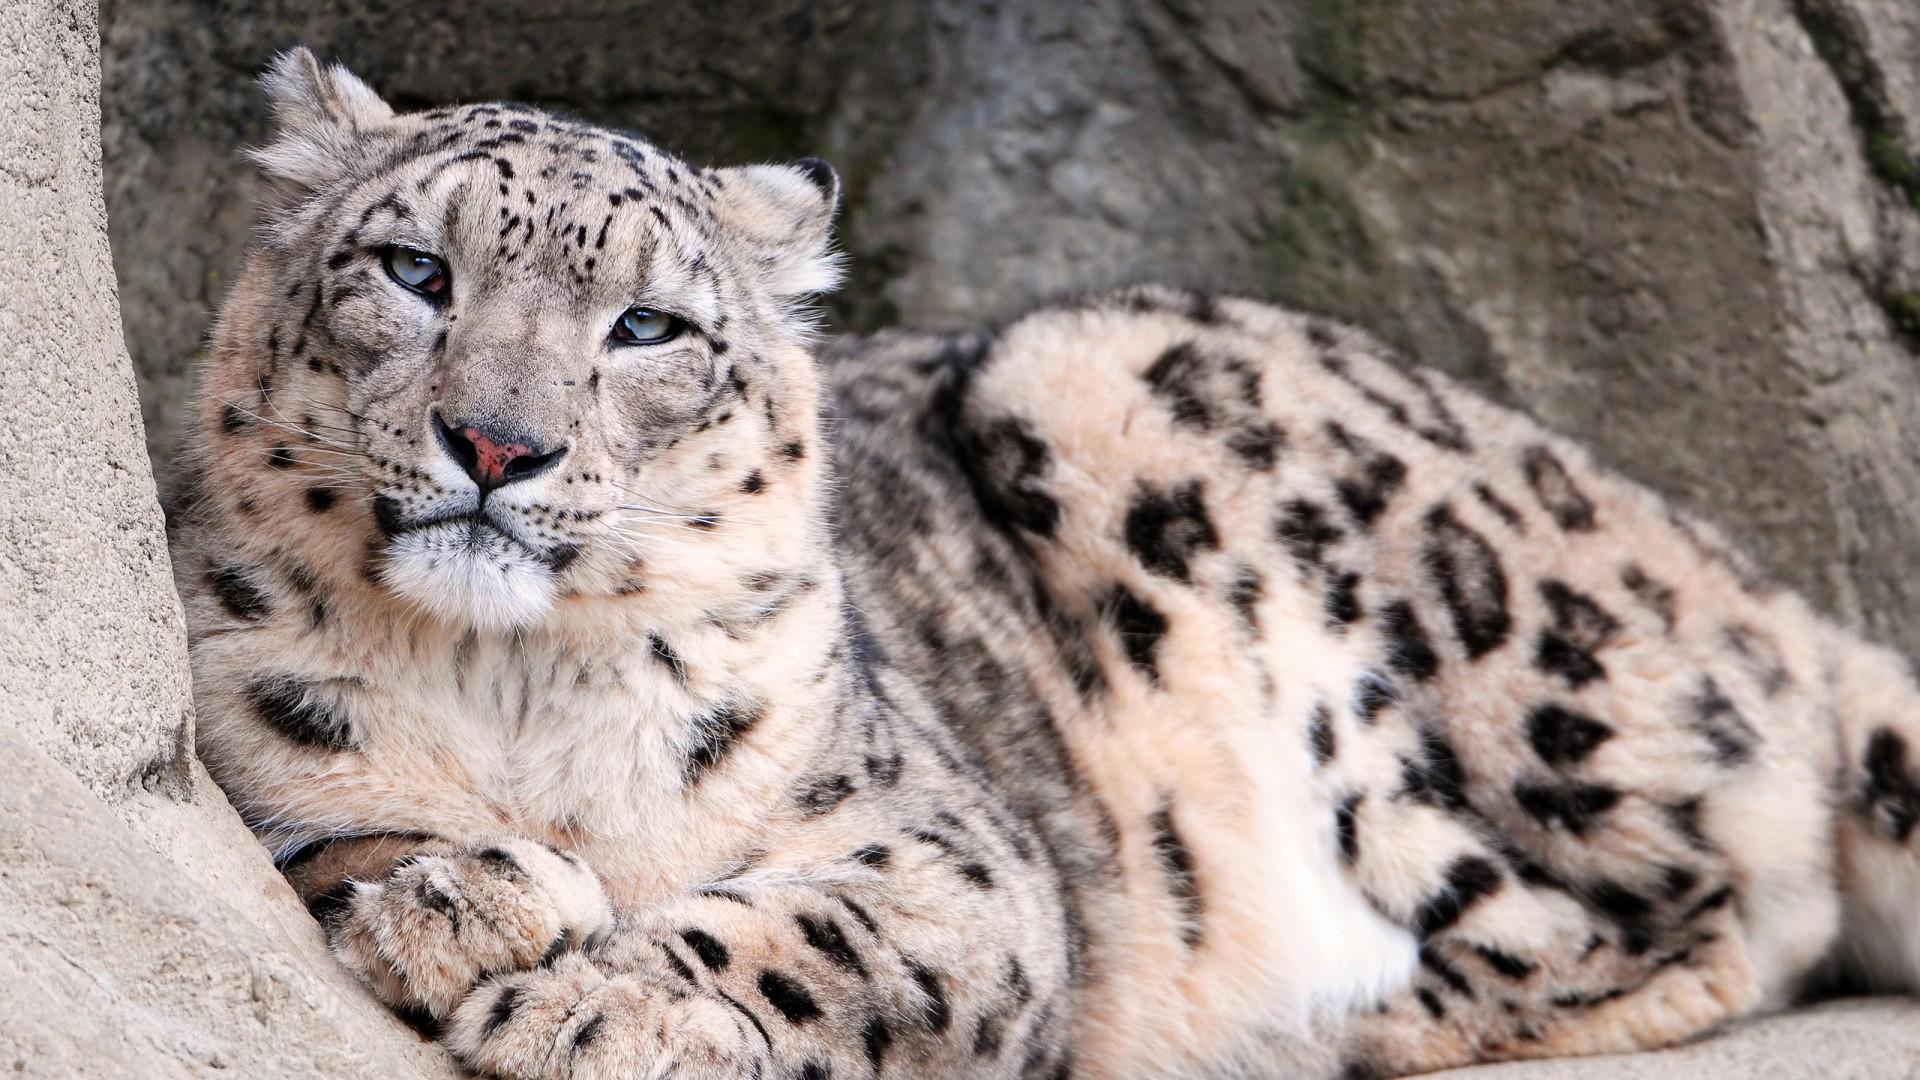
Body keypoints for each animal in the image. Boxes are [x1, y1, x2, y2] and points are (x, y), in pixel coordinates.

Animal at [170, 48, 1920, 1079]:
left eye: (647, 326)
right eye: (415, 270)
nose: (497, 444)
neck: (511, 682)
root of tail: (1743, 579)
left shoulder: (956, 858)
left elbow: (820, 927)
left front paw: (600, 1002)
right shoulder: (240, 745)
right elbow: (320, 836)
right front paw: (464, 899)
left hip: (1161, 422)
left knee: (1692, 913)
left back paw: (1341, 1019)